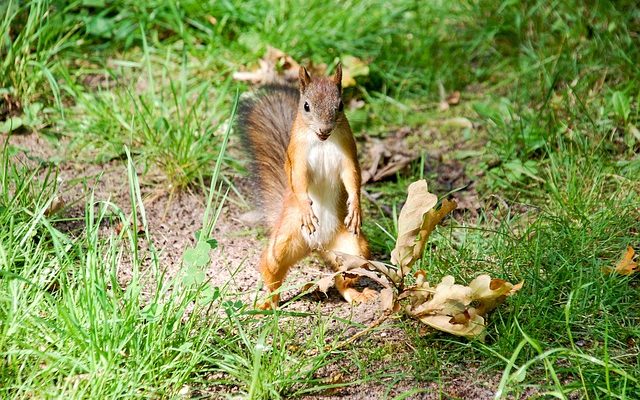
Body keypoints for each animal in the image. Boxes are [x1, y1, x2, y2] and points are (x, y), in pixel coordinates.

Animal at [236, 63, 376, 310]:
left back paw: (356, 293)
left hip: (354, 251)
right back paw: (267, 303)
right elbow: (300, 181)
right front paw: (306, 208)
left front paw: (355, 208)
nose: (324, 129)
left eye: (340, 105)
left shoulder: (348, 153)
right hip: (282, 243)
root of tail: (316, 245)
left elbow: (352, 178)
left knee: (343, 279)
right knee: (272, 274)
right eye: (306, 106)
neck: (322, 142)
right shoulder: (298, 156)